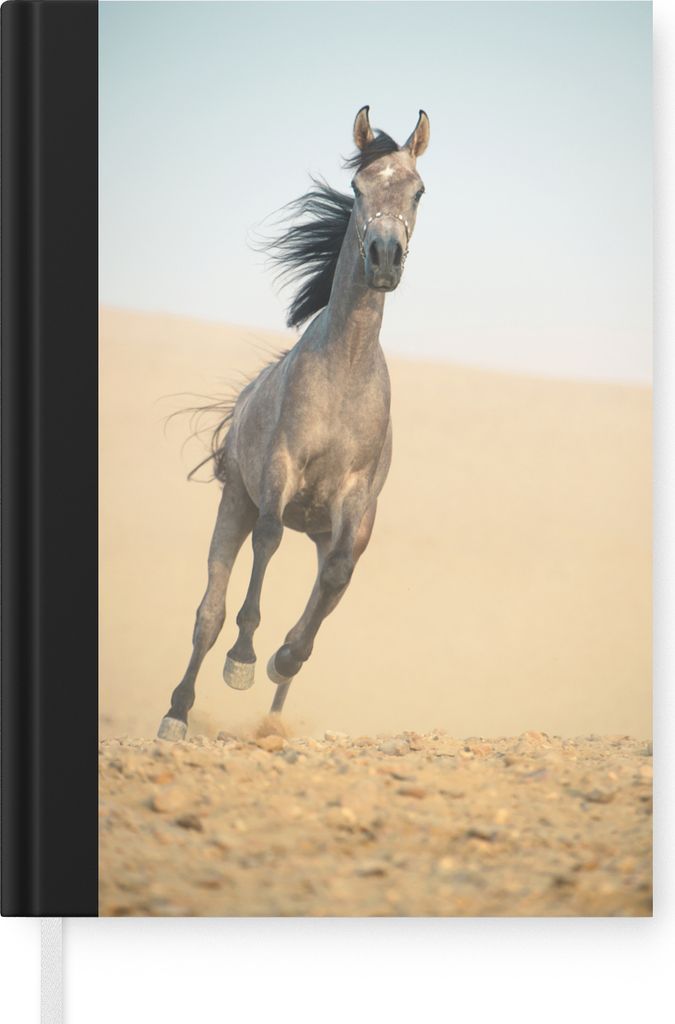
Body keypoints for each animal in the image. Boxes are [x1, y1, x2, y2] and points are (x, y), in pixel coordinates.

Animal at [158, 105, 430, 741]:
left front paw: (285, 657)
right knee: (209, 611)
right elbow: (267, 542)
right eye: (357, 187)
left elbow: (335, 577)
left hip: (328, 525)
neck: (345, 369)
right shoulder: (280, 473)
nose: (384, 257)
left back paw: (277, 707)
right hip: (235, 499)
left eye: (419, 191)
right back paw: (177, 712)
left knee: (329, 581)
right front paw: (244, 660)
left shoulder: (353, 502)